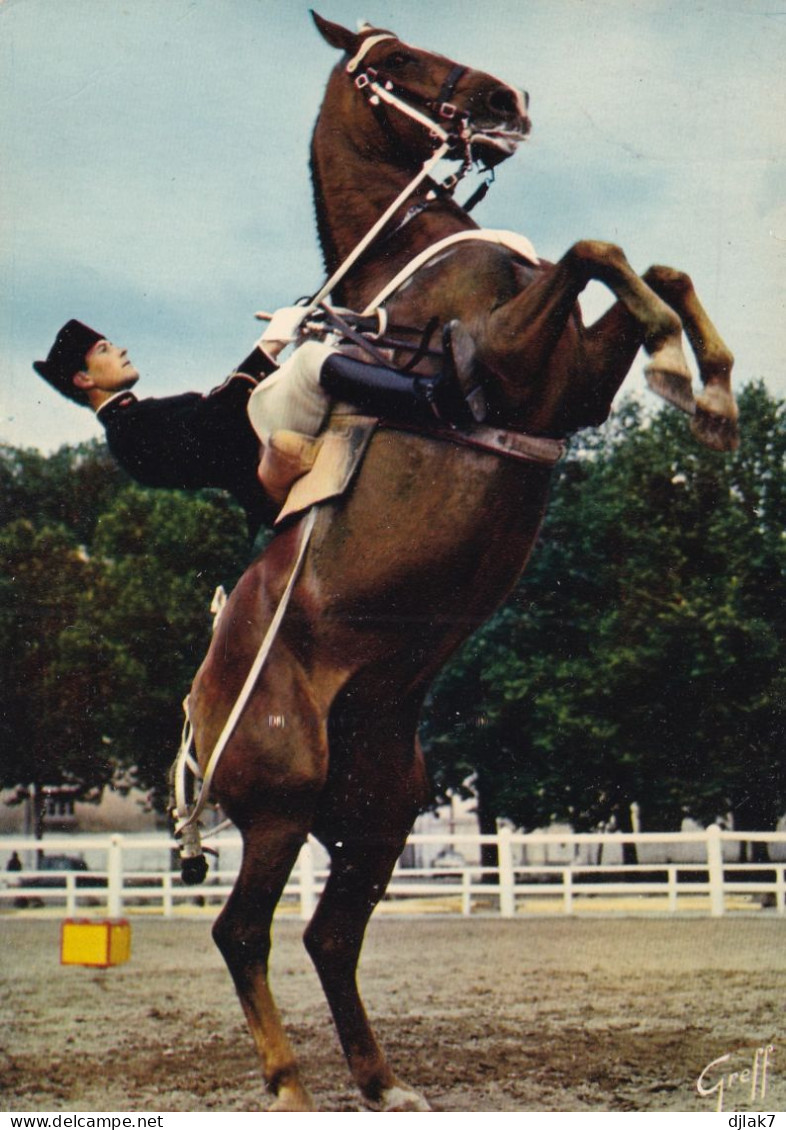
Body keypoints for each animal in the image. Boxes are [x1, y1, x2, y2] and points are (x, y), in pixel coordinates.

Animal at [187, 13, 740, 1111]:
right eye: (393, 61)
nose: (503, 100)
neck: (413, 261)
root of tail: (194, 717)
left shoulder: (569, 382)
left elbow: (653, 269)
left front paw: (712, 394)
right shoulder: (515, 367)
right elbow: (598, 251)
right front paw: (677, 365)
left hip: (380, 804)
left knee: (329, 933)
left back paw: (380, 1079)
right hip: (280, 799)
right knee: (244, 931)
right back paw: (289, 1083)